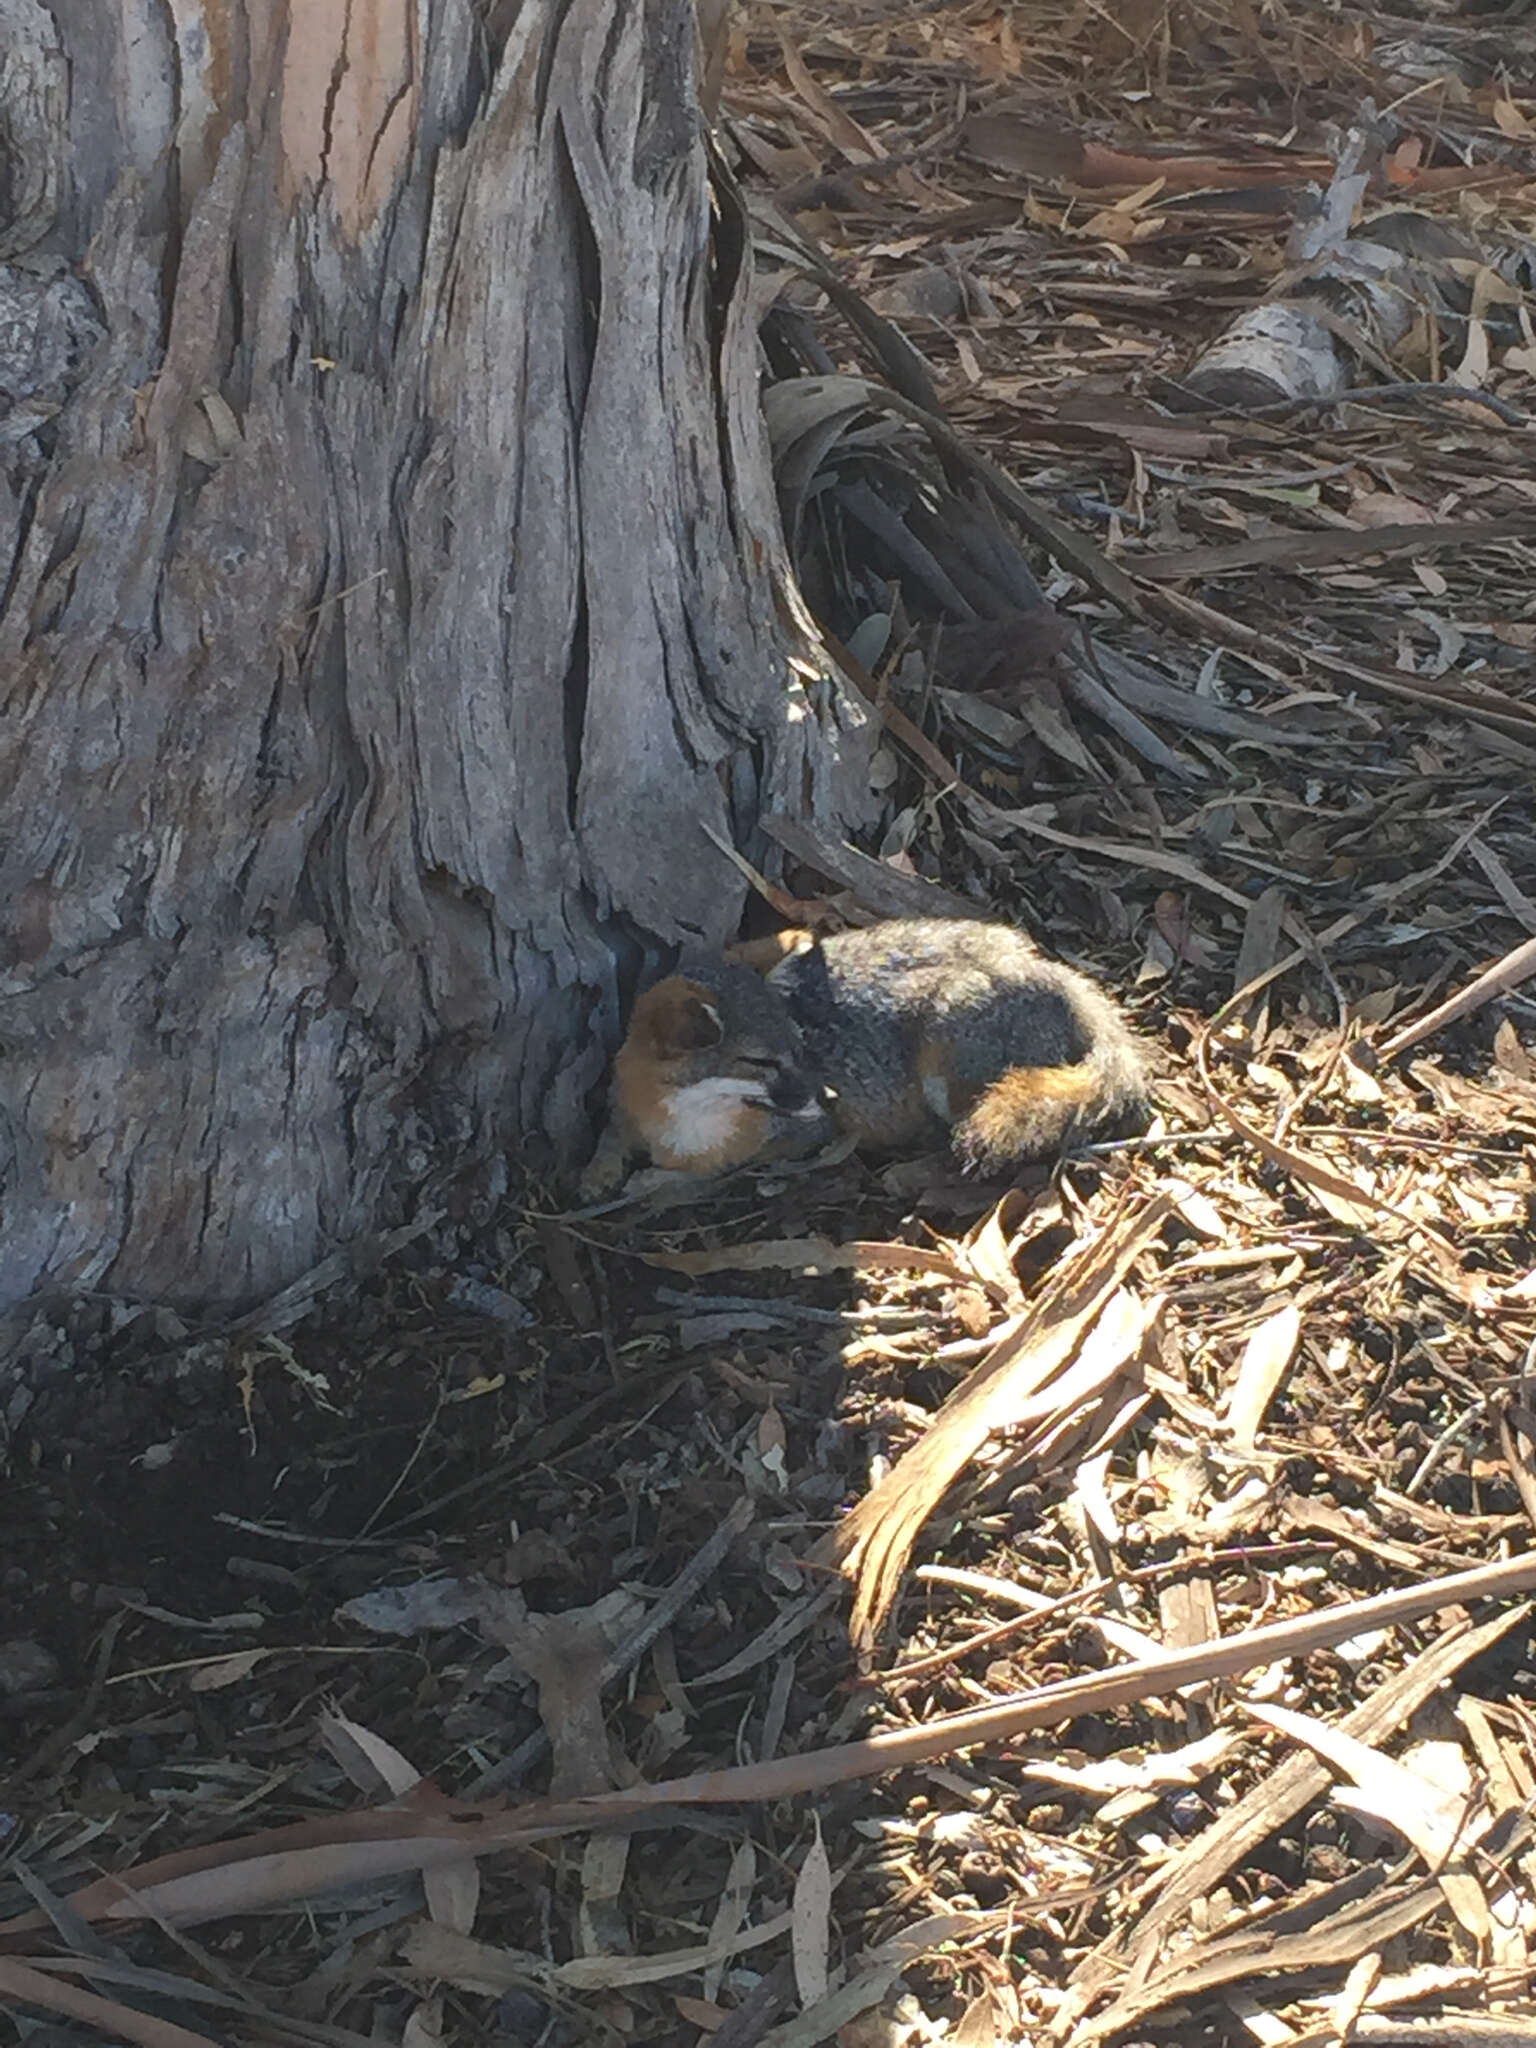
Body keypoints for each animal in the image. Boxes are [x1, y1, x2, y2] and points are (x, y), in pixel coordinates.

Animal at [581, 917, 1146, 1196]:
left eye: (800, 1047)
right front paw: (600, 1170)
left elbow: (714, 1169)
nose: (831, 1096)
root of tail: (1059, 975)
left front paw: (654, 1180)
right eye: (763, 1063)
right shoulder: (621, 1099)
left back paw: (909, 1174)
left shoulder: (803, 1136)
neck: (676, 1118)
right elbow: (610, 1131)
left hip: (947, 1059)